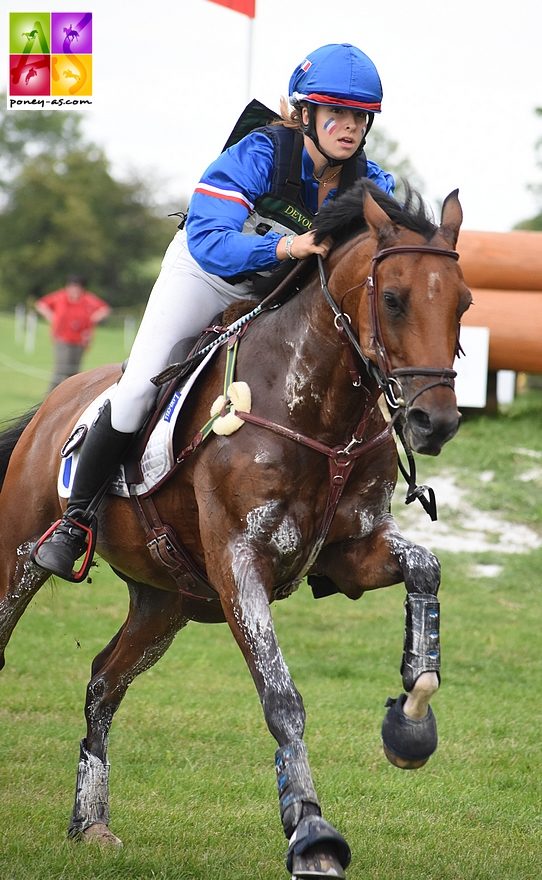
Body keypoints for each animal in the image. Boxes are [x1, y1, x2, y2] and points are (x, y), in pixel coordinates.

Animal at [0, 182, 472, 876]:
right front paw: (312, 835)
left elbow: (425, 568)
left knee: (104, 681)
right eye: (393, 299)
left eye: (464, 302)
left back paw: (91, 822)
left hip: (164, 603)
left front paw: (410, 723)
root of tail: (53, 404)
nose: (434, 422)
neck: (316, 408)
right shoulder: (238, 563)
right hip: (21, 557)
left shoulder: (349, 553)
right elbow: (283, 699)